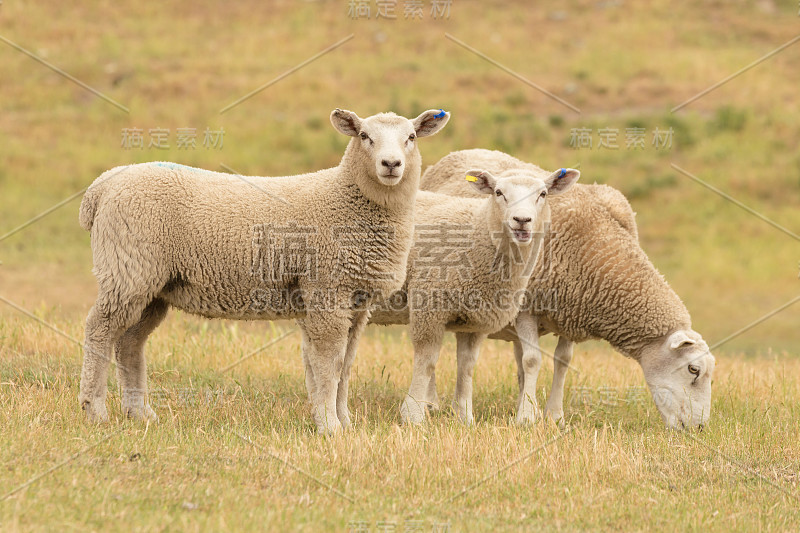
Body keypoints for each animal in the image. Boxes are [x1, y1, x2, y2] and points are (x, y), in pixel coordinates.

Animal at [75, 107, 450, 432]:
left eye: (411, 137)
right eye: (364, 136)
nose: (391, 164)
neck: (347, 199)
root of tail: (100, 187)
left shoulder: (356, 301)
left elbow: (345, 365)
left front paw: (345, 422)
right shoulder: (326, 290)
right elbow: (328, 364)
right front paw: (329, 426)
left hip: (154, 285)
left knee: (129, 342)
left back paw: (140, 413)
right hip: (128, 269)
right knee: (99, 331)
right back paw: (95, 410)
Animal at [422, 149, 716, 428]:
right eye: (693, 369)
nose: (700, 427)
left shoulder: (572, 309)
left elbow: (561, 361)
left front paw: (553, 416)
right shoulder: (527, 309)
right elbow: (532, 360)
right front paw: (526, 418)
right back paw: (431, 403)